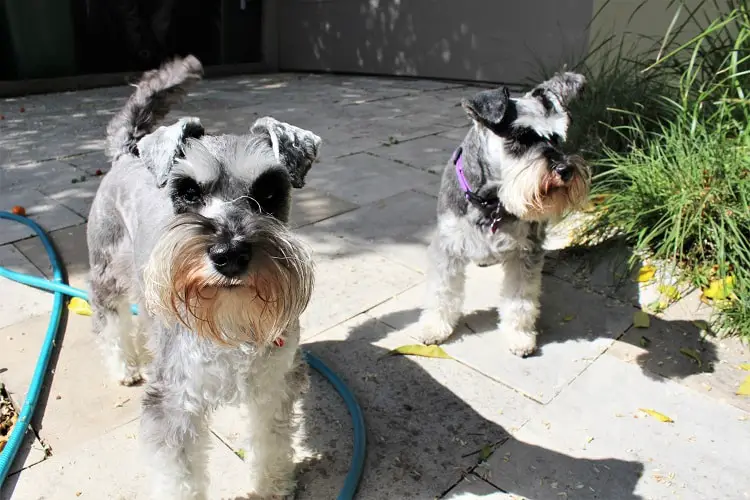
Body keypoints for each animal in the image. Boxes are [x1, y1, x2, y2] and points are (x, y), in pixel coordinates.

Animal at [86, 56, 322, 498]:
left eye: (269, 192)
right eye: (188, 192)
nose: (229, 255)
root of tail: (127, 152)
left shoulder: (274, 386)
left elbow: (271, 443)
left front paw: (269, 488)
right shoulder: (174, 403)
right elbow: (179, 475)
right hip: (107, 271)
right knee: (110, 320)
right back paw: (125, 366)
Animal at [420, 72, 592, 358]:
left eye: (556, 139)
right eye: (521, 136)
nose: (565, 170)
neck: (490, 201)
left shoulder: (526, 253)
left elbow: (520, 300)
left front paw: (519, 336)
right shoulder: (448, 247)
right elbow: (441, 291)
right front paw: (435, 326)